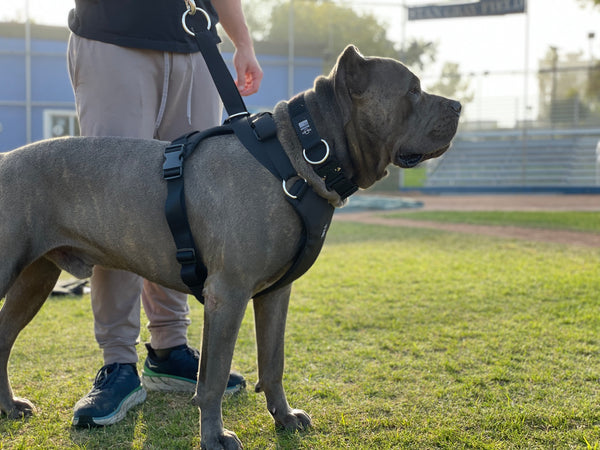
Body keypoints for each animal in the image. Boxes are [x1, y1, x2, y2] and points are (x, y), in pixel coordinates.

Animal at [0, 46, 460, 450]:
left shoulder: (275, 294)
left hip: (35, 280)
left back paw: (8, 407)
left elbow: (273, 362)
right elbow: (213, 377)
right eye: (413, 91)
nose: (456, 105)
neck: (299, 154)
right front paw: (214, 437)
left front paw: (283, 417)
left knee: (3, 339)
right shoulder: (229, 294)